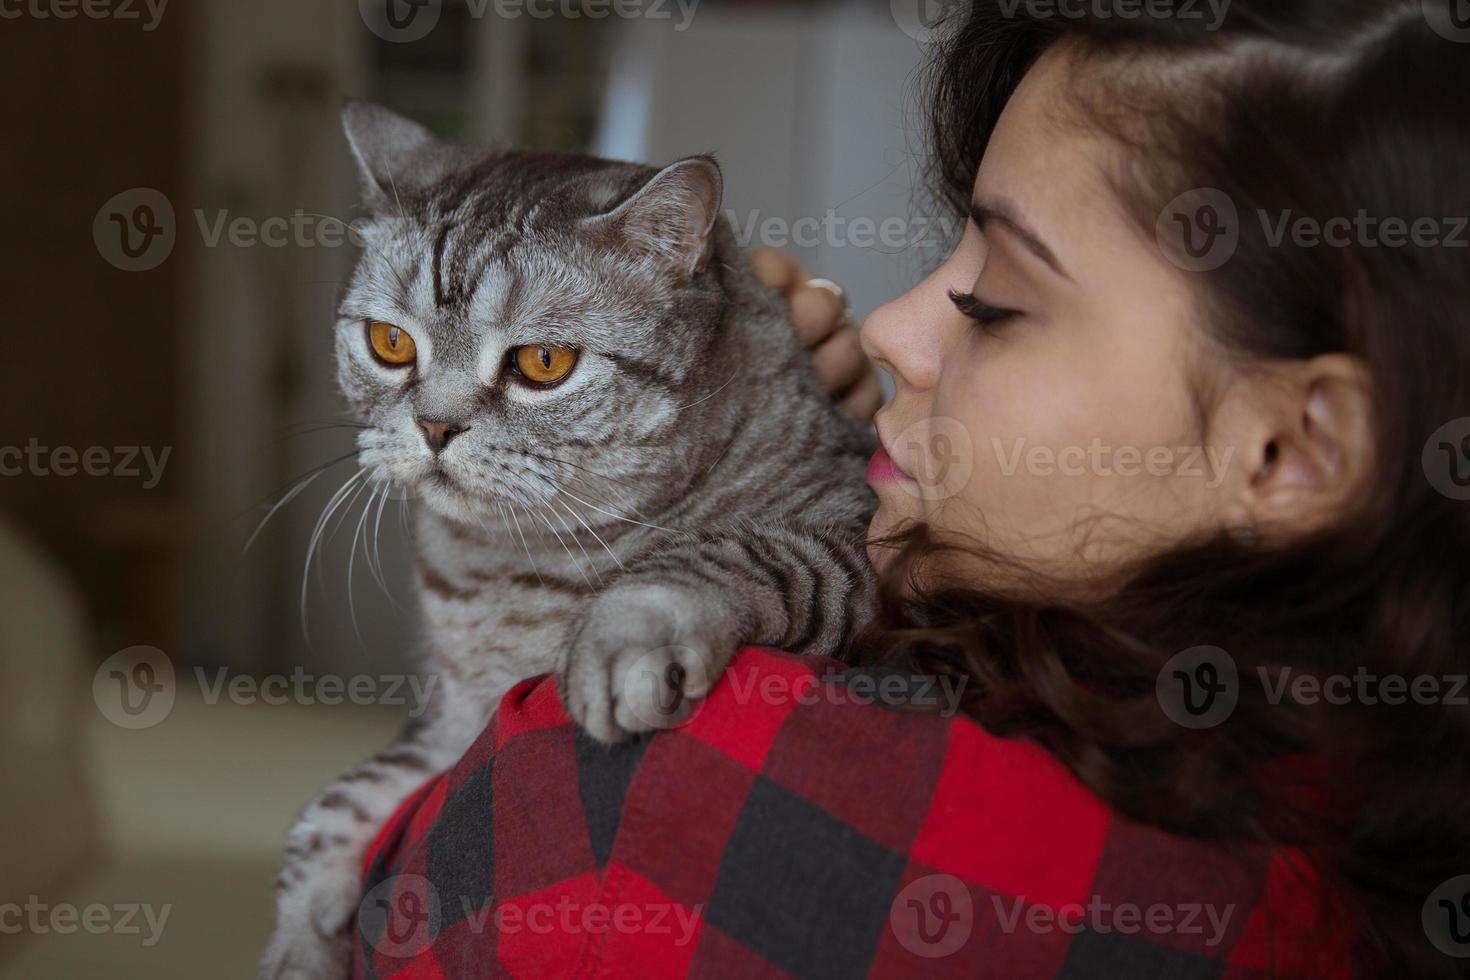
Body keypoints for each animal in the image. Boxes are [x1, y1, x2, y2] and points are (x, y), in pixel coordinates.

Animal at [257, 105, 870, 980]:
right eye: (390, 344)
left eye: (542, 362)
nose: (435, 426)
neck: (514, 569)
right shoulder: (454, 716)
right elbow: (335, 806)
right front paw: (298, 943)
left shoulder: (850, 535)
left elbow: (722, 554)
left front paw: (624, 636)